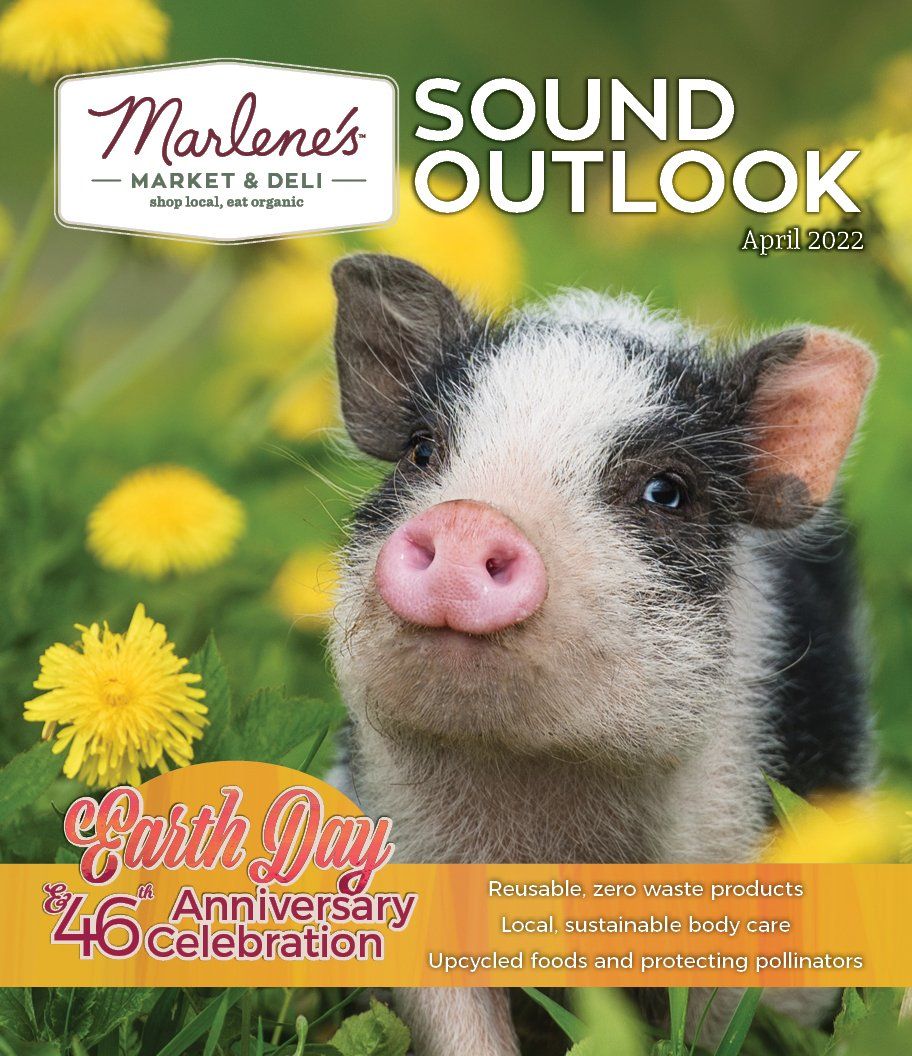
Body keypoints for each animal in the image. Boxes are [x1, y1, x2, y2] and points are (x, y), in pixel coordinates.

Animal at [325, 252, 876, 1055]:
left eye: (666, 491)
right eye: (422, 450)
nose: (468, 519)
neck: (542, 797)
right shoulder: (406, 842)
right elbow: (455, 1015)